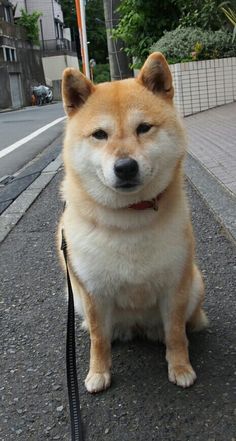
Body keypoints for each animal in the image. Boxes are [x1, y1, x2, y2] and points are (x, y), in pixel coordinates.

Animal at [58, 51, 207, 392]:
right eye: (99, 135)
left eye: (144, 128)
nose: (125, 167)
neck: (129, 218)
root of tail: (137, 327)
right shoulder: (94, 292)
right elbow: (99, 339)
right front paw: (98, 373)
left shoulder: (174, 287)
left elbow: (175, 333)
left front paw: (180, 367)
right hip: (76, 297)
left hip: (194, 283)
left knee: (183, 325)